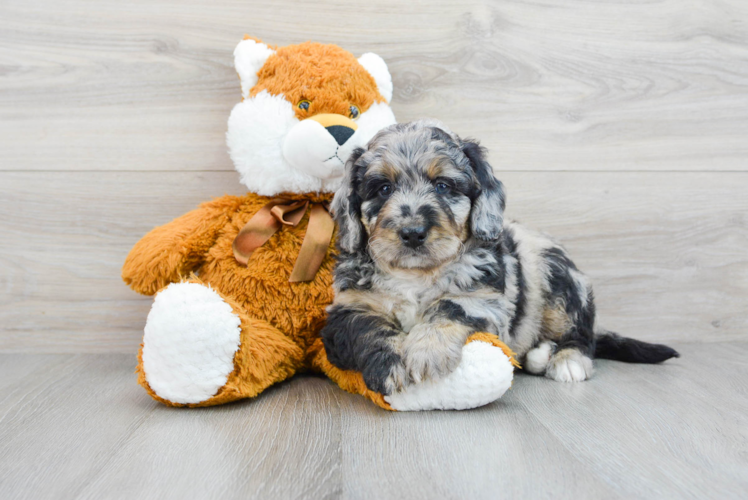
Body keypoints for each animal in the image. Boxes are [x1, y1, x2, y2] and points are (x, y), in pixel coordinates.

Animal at [322, 120, 676, 394]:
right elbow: (369, 329)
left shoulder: (485, 300)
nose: (412, 232)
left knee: (581, 335)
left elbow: (448, 305)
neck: (417, 274)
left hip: (560, 281)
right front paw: (390, 364)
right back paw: (538, 355)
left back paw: (567, 361)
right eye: (382, 188)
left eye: (442, 185)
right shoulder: (347, 310)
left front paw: (426, 350)